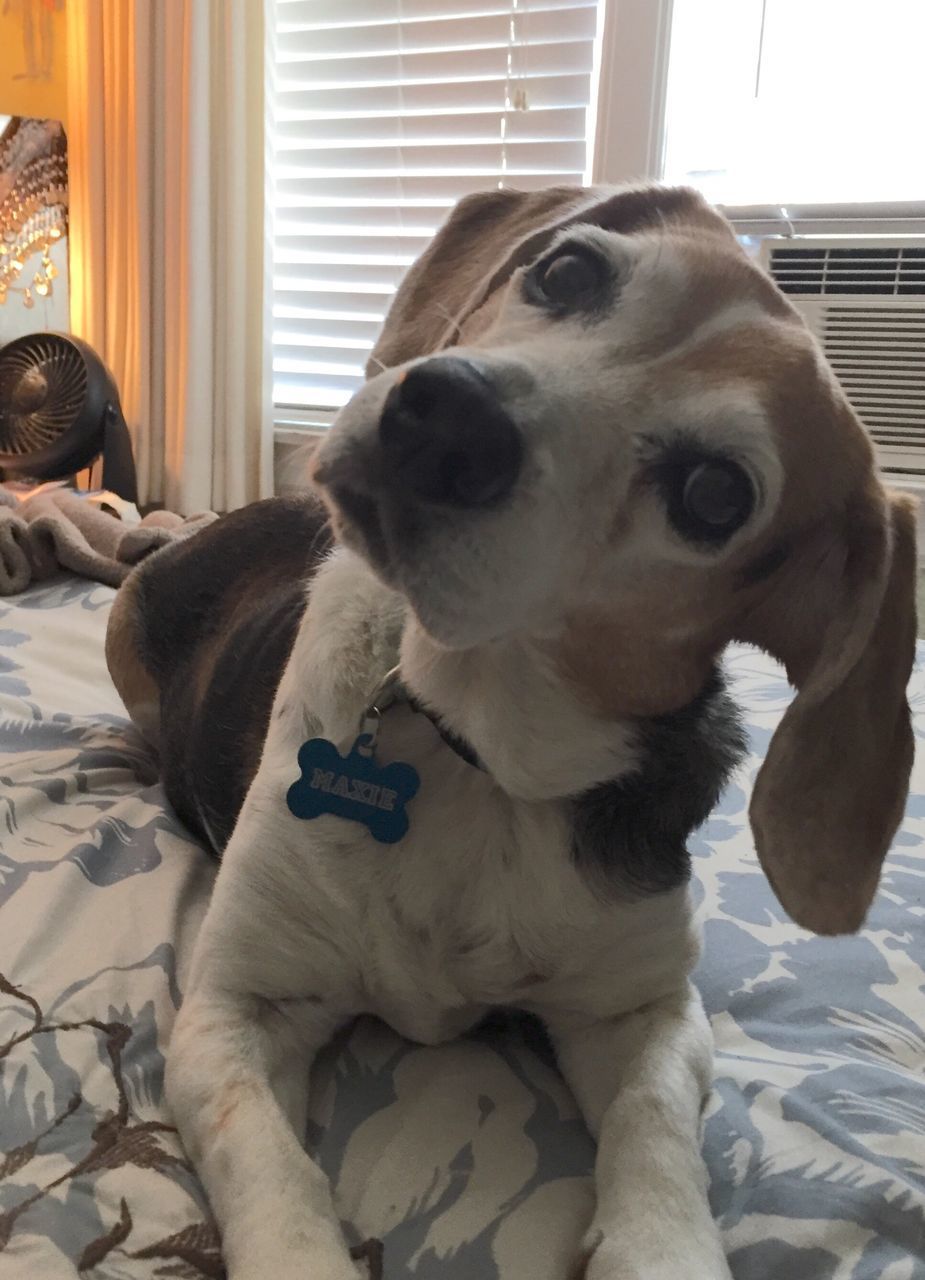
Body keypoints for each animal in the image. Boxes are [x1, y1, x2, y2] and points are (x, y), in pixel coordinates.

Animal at [108, 183, 921, 1280]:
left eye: (715, 495)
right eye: (569, 270)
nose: (447, 413)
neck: (473, 754)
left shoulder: (644, 1011)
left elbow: (656, 1134)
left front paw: (660, 1243)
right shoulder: (234, 1008)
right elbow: (275, 1175)